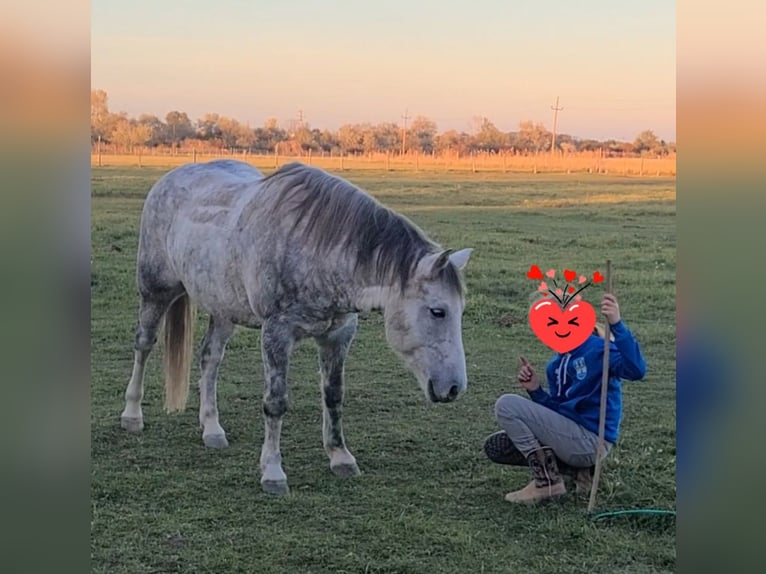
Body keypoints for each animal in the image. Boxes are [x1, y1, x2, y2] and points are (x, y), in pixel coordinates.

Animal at [119, 160, 473, 494]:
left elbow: (333, 395)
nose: (454, 388)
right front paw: (273, 473)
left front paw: (340, 457)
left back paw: (212, 429)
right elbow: (276, 403)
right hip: (155, 293)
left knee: (210, 359)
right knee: (144, 345)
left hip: (223, 309)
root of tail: (170, 178)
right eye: (438, 311)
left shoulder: (338, 335)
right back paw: (132, 415)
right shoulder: (277, 333)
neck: (318, 251)